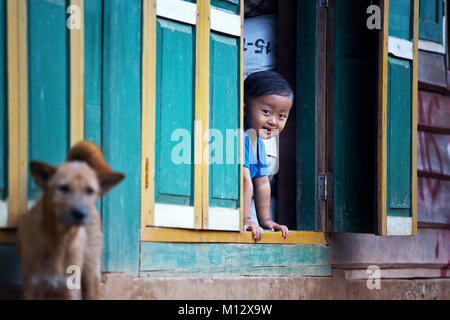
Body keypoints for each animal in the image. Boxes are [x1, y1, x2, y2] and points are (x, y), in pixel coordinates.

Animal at [16, 141, 124, 298]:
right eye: (63, 188)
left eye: (90, 191)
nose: (80, 213)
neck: (57, 241)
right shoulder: (33, 287)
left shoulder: (70, 288)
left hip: (91, 272)